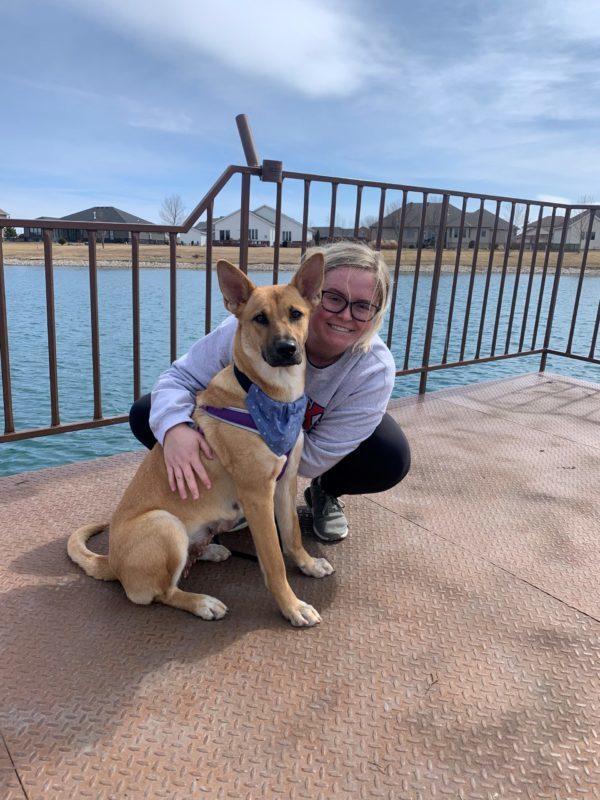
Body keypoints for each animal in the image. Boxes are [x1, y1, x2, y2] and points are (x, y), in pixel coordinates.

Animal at [69, 255, 338, 624]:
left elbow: (293, 535)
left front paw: (307, 564)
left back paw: (209, 549)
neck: (269, 396)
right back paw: (201, 602)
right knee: (161, 593)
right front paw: (292, 606)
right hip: (164, 524)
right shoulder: (258, 496)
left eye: (296, 314)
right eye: (259, 318)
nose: (287, 349)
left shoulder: (286, 482)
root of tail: (112, 563)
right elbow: (274, 561)